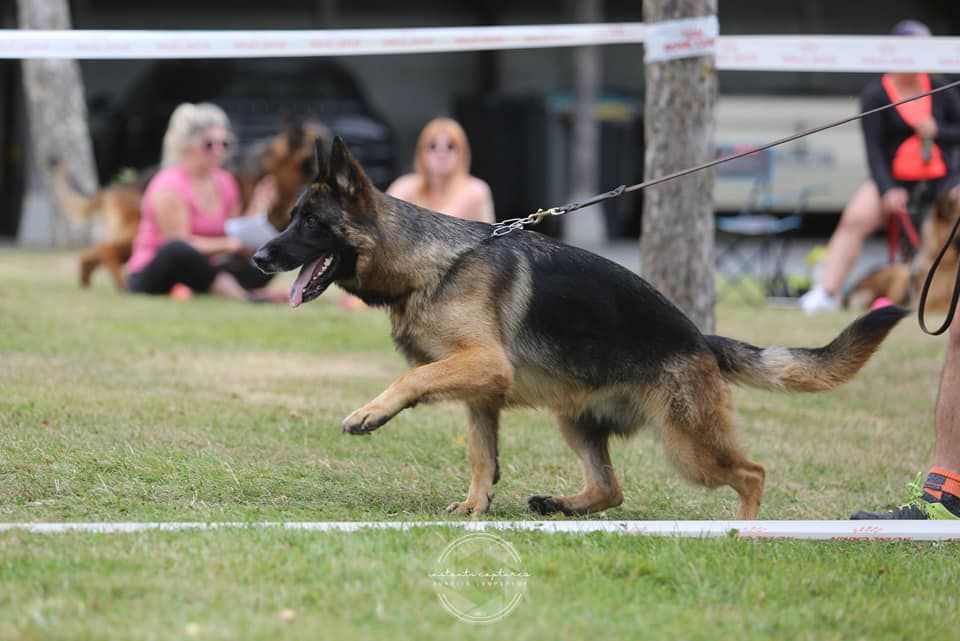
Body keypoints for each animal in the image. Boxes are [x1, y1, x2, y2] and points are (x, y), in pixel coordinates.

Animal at [253, 138, 908, 516]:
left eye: (308, 222)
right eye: (292, 217)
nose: (258, 258)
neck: (431, 262)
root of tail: (700, 339)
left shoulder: (481, 365)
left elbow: (410, 381)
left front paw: (371, 413)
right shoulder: (481, 393)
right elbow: (482, 456)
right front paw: (475, 506)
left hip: (687, 446)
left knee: (751, 474)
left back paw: (743, 534)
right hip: (575, 418)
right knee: (612, 489)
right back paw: (561, 504)